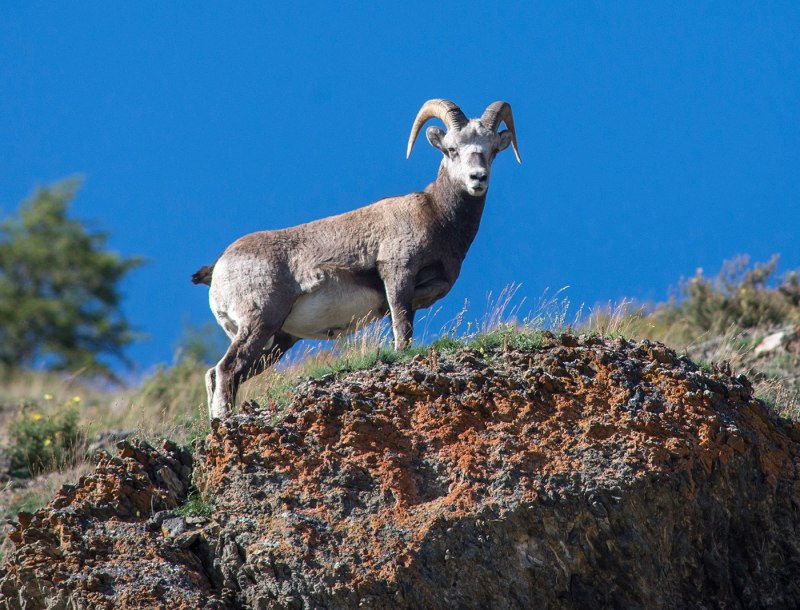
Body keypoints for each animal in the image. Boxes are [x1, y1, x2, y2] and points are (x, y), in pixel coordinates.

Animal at [191, 98, 520, 418]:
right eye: (452, 149)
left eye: (492, 151)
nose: (478, 179)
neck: (437, 216)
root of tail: (218, 267)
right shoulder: (398, 276)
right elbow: (402, 334)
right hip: (260, 323)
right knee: (226, 370)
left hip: (276, 340)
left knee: (217, 375)